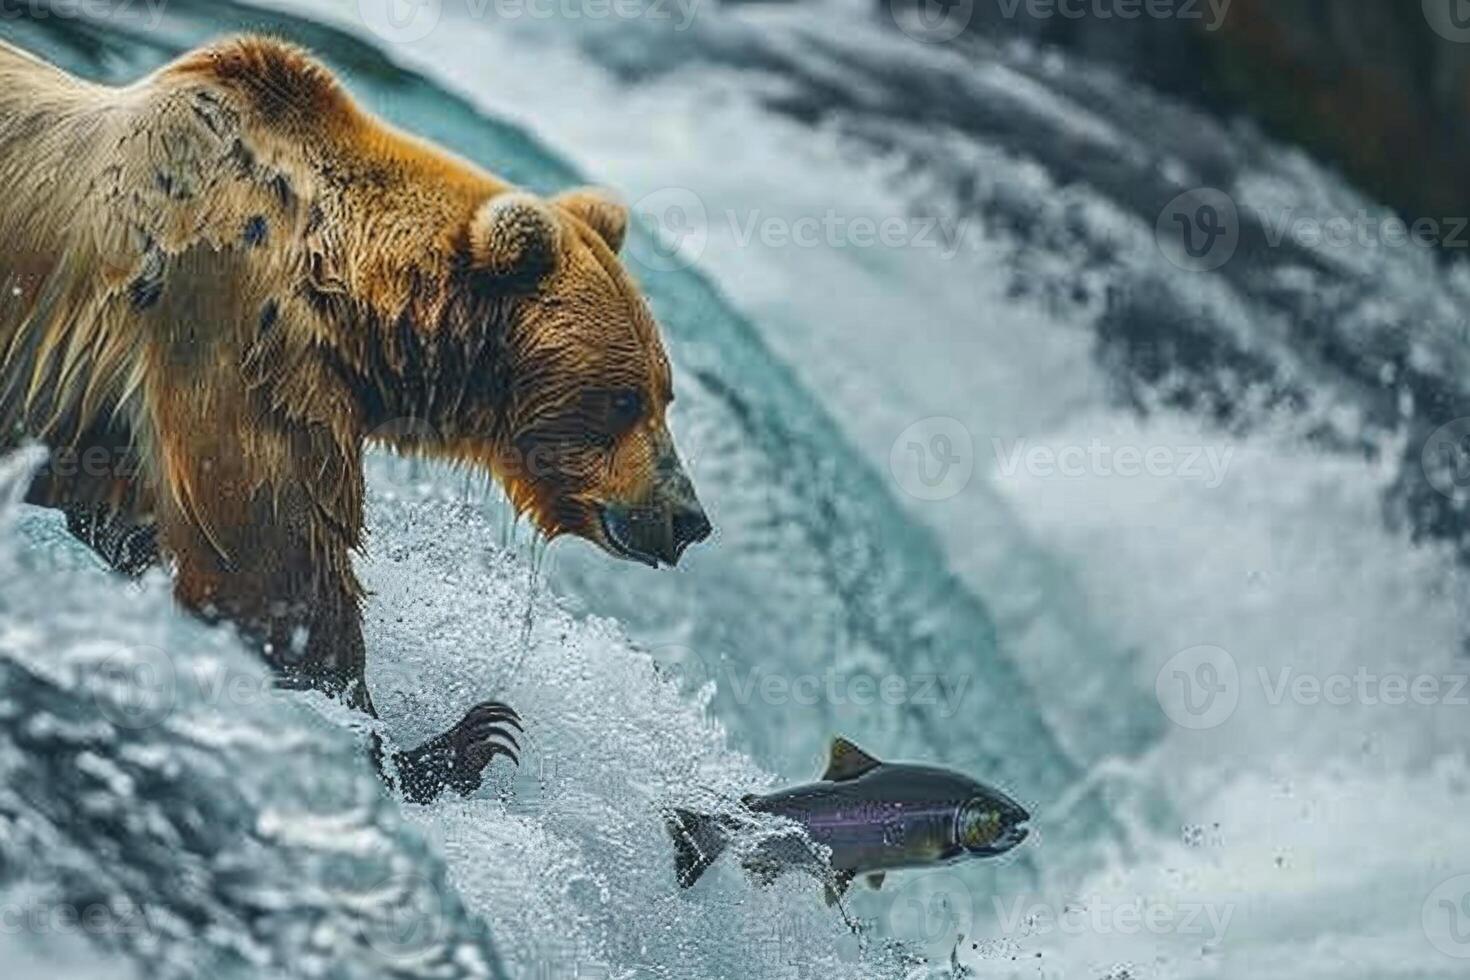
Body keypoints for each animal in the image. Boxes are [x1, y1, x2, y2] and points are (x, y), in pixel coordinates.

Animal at [0, 36, 711, 805]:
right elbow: (269, 570)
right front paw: (454, 743)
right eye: (624, 398)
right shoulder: (232, 348)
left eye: (664, 393)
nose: (688, 517)